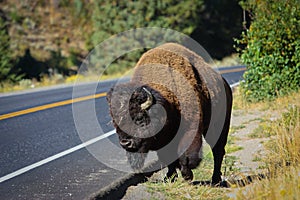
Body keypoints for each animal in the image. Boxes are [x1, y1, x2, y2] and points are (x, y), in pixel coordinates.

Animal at [106, 43, 233, 185]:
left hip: (220, 125)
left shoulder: (189, 130)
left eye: (140, 118)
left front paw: (187, 175)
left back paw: (215, 179)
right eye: (116, 123)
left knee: (218, 150)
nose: (125, 143)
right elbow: (168, 158)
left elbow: (185, 156)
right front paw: (170, 177)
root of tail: (225, 84)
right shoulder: (163, 140)